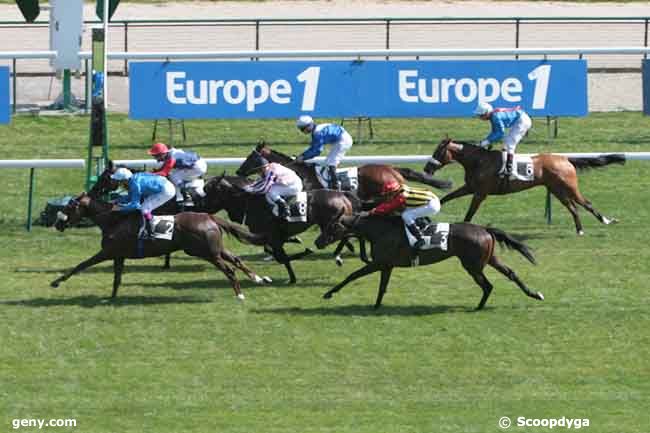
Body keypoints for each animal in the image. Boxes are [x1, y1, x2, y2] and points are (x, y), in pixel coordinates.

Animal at [51, 193, 270, 298]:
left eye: (69, 207)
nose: (58, 224)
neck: (113, 220)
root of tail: (209, 217)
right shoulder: (119, 255)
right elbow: (117, 279)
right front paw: (111, 298)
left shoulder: (108, 252)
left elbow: (81, 265)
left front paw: (56, 282)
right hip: (216, 249)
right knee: (237, 260)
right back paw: (259, 278)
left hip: (206, 252)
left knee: (230, 270)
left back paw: (239, 294)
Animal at [204, 176, 360, 284]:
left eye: (209, 192)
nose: (202, 208)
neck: (250, 202)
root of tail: (342, 194)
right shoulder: (271, 237)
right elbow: (276, 253)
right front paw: (296, 243)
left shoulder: (272, 237)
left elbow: (281, 257)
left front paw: (294, 273)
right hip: (328, 225)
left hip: (330, 224)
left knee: (343, 235)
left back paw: (338, 255)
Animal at [324, 213, 540, 308]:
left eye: (332, 226)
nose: (319, 241)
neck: (381, 231)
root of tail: (484, 229)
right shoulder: (386, 265)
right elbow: (382, 287)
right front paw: (376, 306)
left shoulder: (378, 263)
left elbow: (353, 275)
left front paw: (329, 293)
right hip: (489, 259)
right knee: (510, 273)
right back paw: (534, 293)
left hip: (472, 265)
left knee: (487, 285)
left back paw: (478, 307)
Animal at [420, 138, 624, 233]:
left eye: (438, 152)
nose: (427, 168)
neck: (478, 161)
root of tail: (566, 159)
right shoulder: (470, 187)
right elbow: (446, 197)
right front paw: (427, 215)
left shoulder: (480, 193)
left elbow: (470, 213)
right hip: (557, 190)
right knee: (573, 208)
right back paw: (579, 230)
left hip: (569, 187)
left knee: (586, 203)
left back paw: (606, 221)